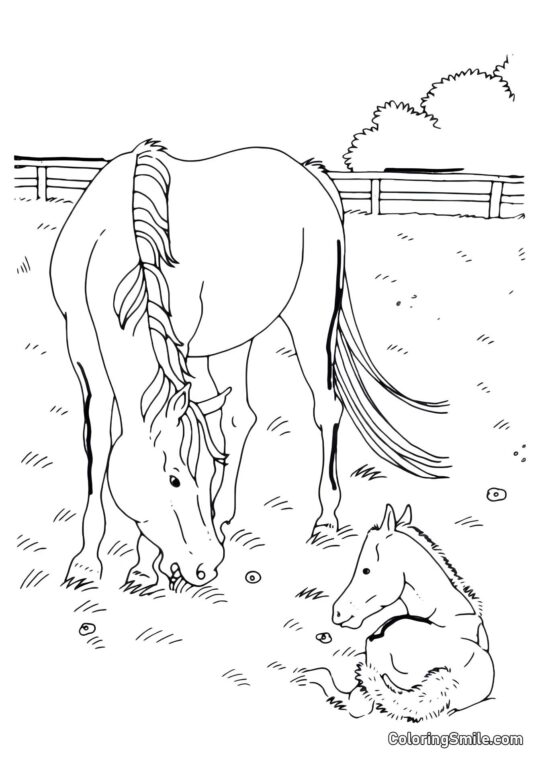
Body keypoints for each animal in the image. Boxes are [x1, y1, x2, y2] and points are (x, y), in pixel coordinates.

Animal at [50, 139, 448, 588]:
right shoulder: (84, 355)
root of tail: (309, 173)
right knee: (240, 416)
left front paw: (143, 564)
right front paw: (87, 561)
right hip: (235, 337)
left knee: (324, 408)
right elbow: (99, 446)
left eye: (208, 472)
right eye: (174, 479)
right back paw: (225, 516)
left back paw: (324, 518)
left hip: (309, 319)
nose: (205, 568)